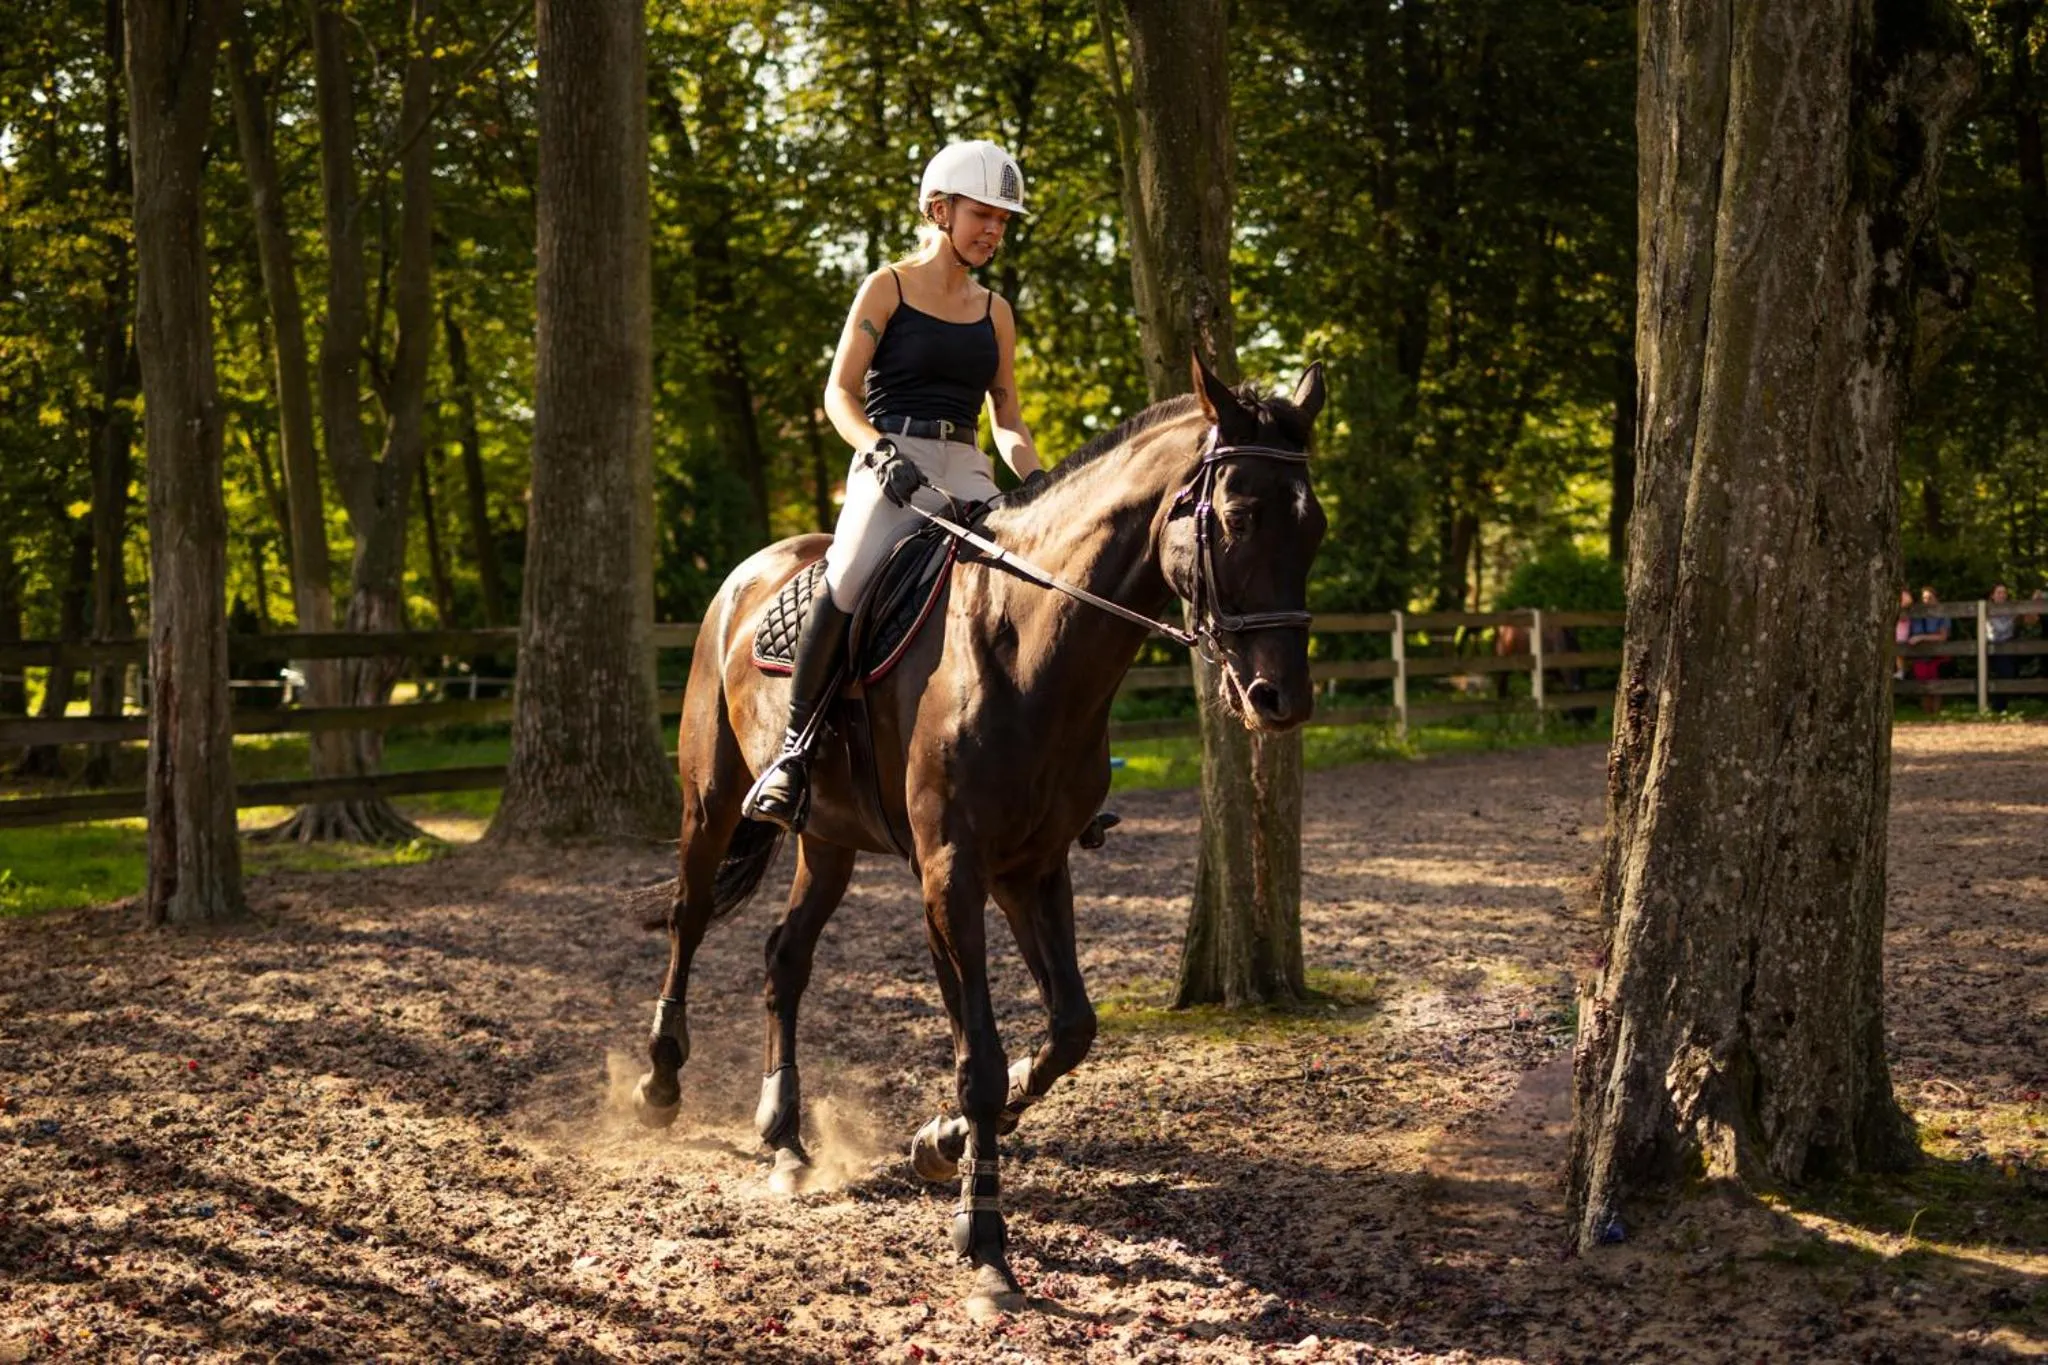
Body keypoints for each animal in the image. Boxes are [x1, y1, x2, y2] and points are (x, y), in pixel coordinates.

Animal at [633, 355, 1327, 1313]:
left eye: (1315, 528)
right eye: (1237, 516)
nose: (1280, 700)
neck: (1028, 646)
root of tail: (752, 572)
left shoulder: (1032, 867)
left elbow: (1069, 1030)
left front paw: (941, 1142)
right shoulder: (951, 874)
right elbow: (984, 1058)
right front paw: (985, 1240)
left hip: (830, 839)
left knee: (784, 955)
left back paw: (783, 1133)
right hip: (710, 800)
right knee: (690, 918)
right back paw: (661, 1081)